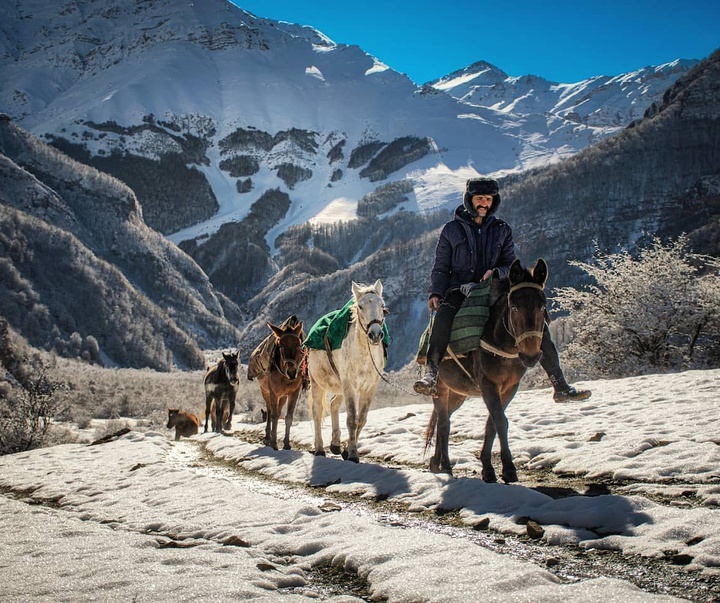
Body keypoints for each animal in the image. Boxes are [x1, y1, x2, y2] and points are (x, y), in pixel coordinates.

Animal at [252, 318, 306, 450]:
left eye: (299, 344)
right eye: (280, 345)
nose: (292, 372)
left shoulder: (294, 393)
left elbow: (288, 417)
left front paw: (286, 444)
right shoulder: (274, 393)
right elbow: (274, 416)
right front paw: (274, 443)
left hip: (283, 397)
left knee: (278, 410)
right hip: (265, 392)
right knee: (270, 410)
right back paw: (268, 437)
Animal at [308, 280, 388, 462]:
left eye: (382, 305)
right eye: (360, 306)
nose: (375, 335)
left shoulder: (369, 388)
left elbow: (362, 419)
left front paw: (346, 449)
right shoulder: (350, 386)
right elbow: (352, 419)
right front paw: (352, 454)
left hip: (340, 387)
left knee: (333, 405)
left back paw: (335, 445)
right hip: (317, 383)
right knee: (317, 412)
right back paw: (319, 449)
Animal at [428, 258, 544, 484]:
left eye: (542, 306)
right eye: (514, 307)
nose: (531, 356)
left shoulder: (509, 388)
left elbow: (492, 423)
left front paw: (488, 467)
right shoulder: (488, 385)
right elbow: (500, 421)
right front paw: (507, 469)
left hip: (458, 394)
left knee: (443, 419)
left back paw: (436, 461)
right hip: (440, 388)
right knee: (444, 423)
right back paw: (446, 465)